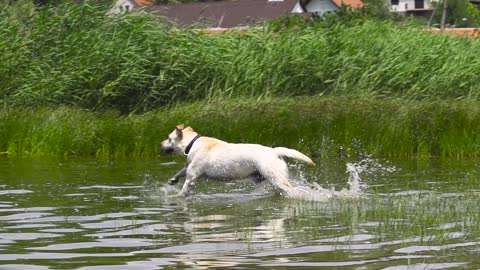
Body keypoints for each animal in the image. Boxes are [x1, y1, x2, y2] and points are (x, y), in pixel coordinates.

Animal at [161, 124, 316, 196]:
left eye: (168, 138)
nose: (159, 145)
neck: (192, 143)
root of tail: (275, 151)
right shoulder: (191, 169)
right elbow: (181, 170)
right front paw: (172, 180)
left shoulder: (192, 176)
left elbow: (184, 189)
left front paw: (176, 196)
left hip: (276, 177)